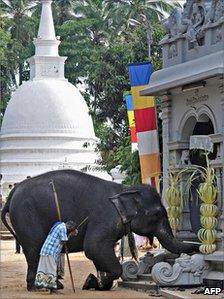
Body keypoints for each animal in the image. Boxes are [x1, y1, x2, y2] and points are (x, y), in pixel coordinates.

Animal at [1, 170, 198, 292]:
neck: (125, 189)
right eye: (157, 214)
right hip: (26, 216)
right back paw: (41, 287)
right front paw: (98, 281)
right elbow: (94, 247)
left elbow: (99, 252)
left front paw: (97, 282)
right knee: (35, 250)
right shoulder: (105, 217)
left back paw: (51, 286)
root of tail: (12, 194)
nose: (197, 247)